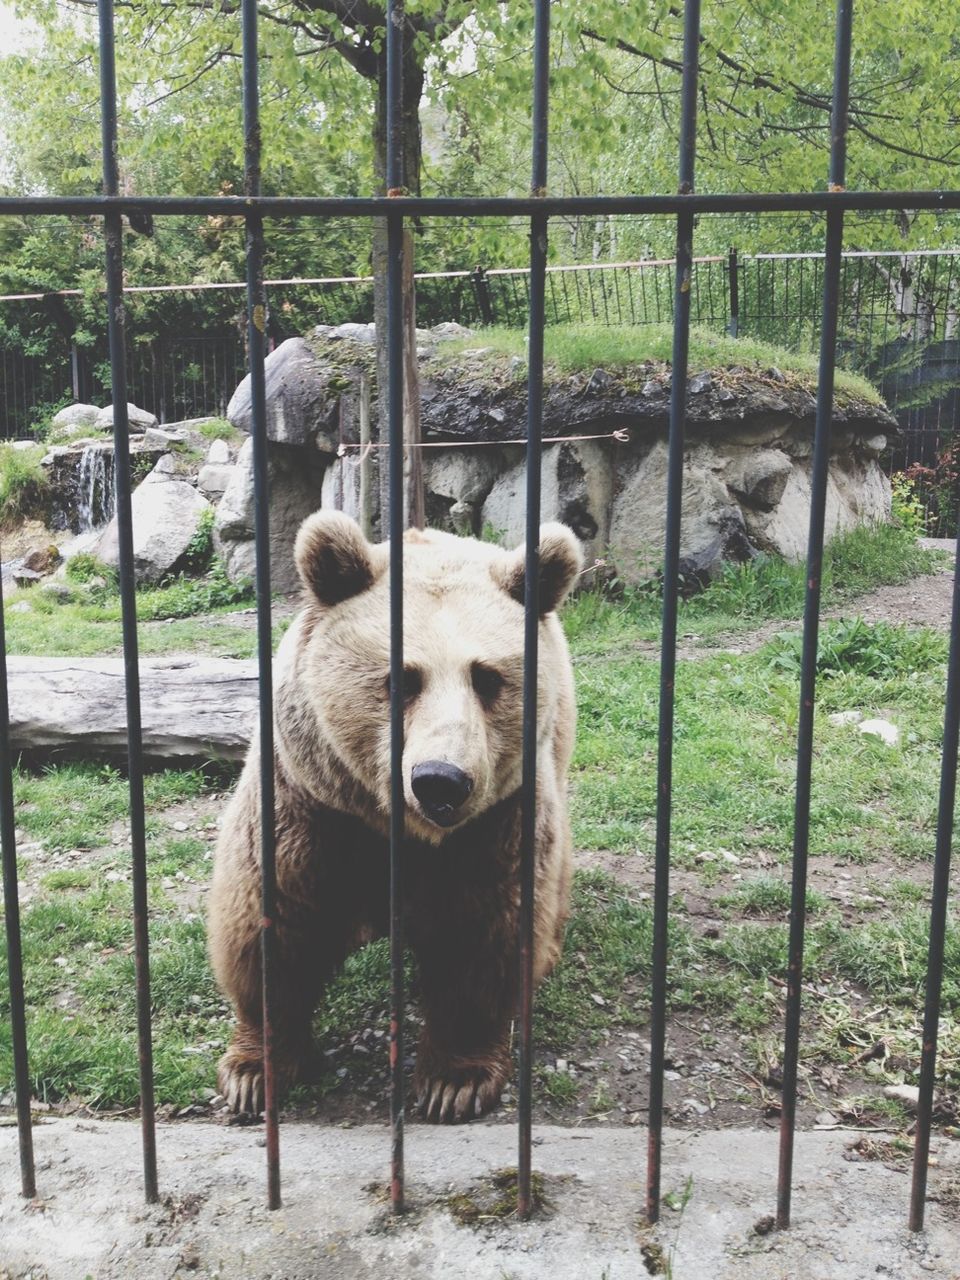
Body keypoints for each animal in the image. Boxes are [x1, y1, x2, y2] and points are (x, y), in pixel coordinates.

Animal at [208, 509, 578, 1121]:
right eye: (401, 678)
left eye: (487, 677)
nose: (440, 780)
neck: (393, 826)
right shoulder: (311, 802)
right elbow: (273, 922)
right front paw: (253, 1072)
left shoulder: (495, 821)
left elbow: (483, 932)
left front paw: (455, 1082)